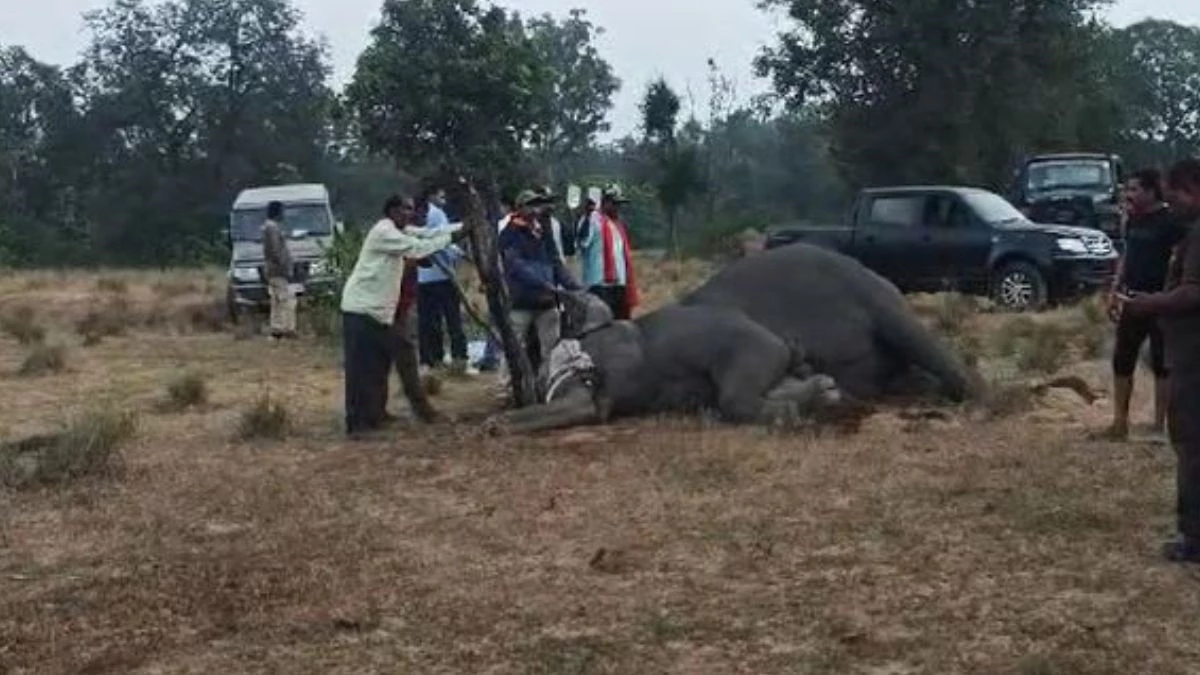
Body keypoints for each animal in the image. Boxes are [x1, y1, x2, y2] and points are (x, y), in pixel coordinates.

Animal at [487, 240, 984, 429]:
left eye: (577, 355)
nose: (494, 427)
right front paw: (823, 393)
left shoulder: (724, 336)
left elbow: (743, 384)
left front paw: (807, 402)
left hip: (882, 300)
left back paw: (981, 398)